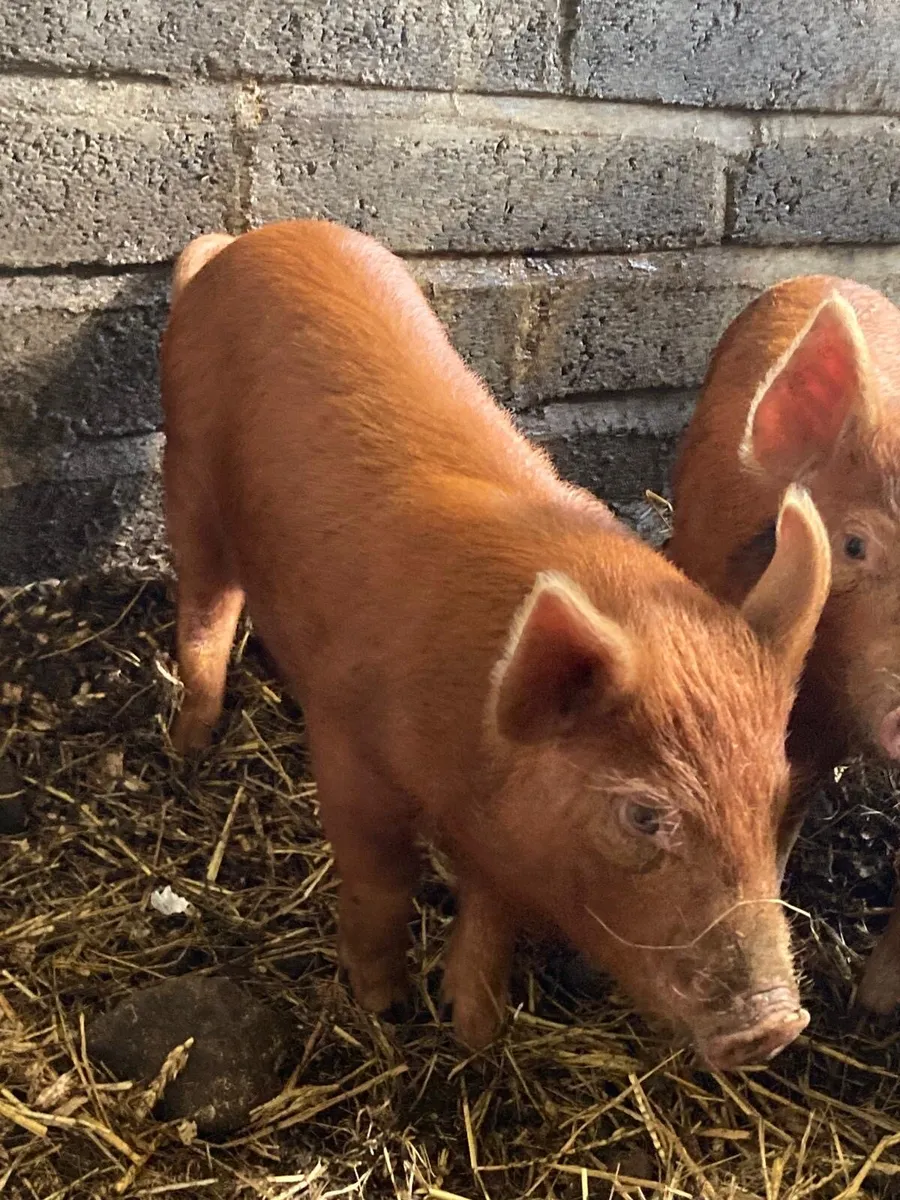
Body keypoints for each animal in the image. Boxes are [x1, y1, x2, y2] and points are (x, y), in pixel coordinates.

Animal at [161, 220, 831, 1068]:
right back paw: (188, 745)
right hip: (184, 466)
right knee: (205, 605)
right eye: (643, 815)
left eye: (773, 797)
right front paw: (384, 1009)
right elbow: (382, 878)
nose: (777, 1024)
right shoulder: (349, 747)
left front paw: (476, 1032)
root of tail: (251, 239)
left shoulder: (509, 835)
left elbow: (495, 912)